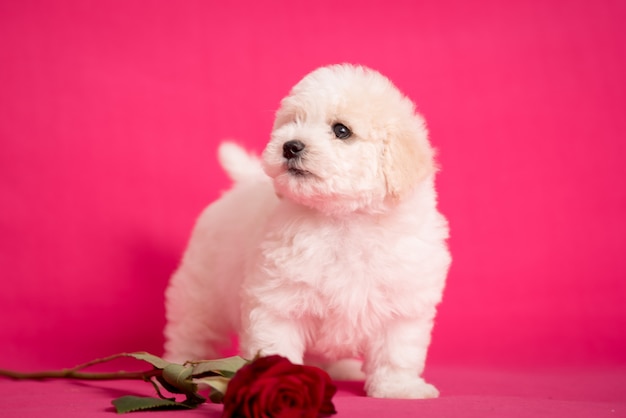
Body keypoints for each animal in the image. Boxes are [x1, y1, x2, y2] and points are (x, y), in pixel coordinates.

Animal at [165, 64, 448, 398]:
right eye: (293, 122)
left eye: (341, 130)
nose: (290, 145)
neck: (344, 219)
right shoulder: (277, 299)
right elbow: (276, 344)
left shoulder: (404, 302)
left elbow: (397, 351)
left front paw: (399, 388)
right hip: (202, 290)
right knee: (190, 330)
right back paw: (179, 369)